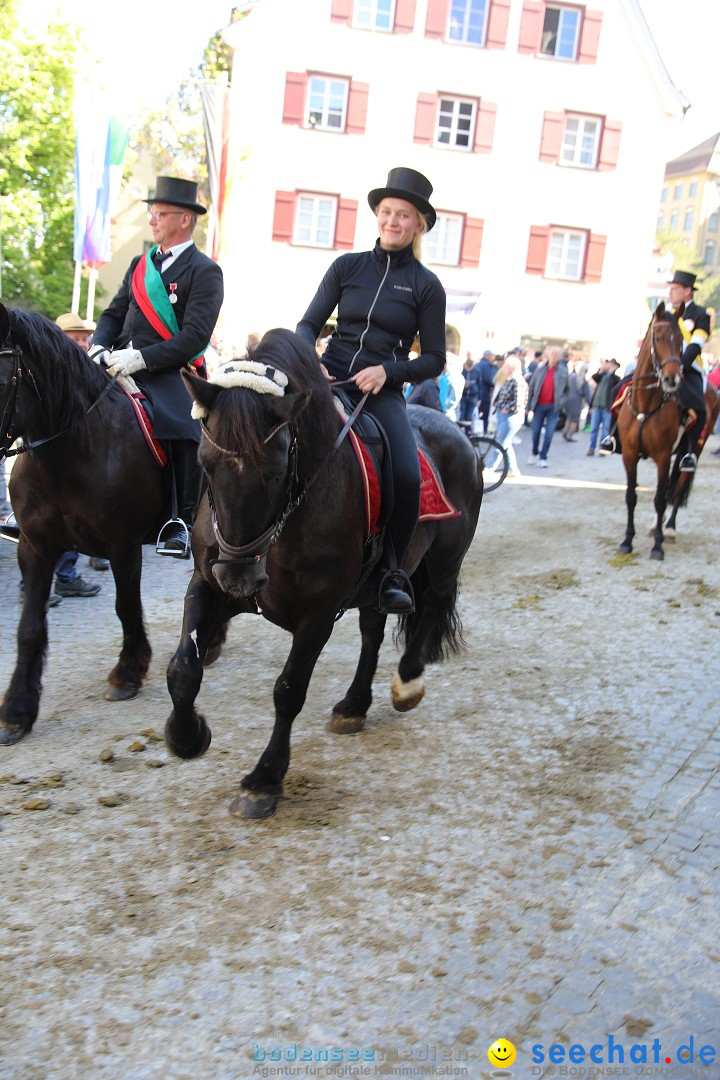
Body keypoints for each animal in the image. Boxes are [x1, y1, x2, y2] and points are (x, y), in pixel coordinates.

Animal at [0, 304, 165, 743]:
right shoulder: (35, 547)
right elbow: (28, 628)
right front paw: (16, 709)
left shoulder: (123, 546)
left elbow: (126, 606)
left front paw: (128, 673)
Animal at [167, 328, 483, 816]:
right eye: (205, 463)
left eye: (278, 468)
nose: (239, 578)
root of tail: (458, 433)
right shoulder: (208, 584)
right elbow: (183, 666)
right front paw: (186, 736)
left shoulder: (316, 613)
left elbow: (289, 689)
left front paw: (264, 780)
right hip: (374, 584)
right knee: (373, 631)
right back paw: (354, 705)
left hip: (446, 560)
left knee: (430, 607)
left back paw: (407, 683)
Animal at [617, 300, 686, 561]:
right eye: (658, 338)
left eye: (680, 340)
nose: (672, 379)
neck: (645, 406)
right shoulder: (629, 454)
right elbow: (631, 496)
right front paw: (627, 541)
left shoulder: (663, 456)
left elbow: (659, 499)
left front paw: (657, 546)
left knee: (677, 489)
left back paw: (669, 530)